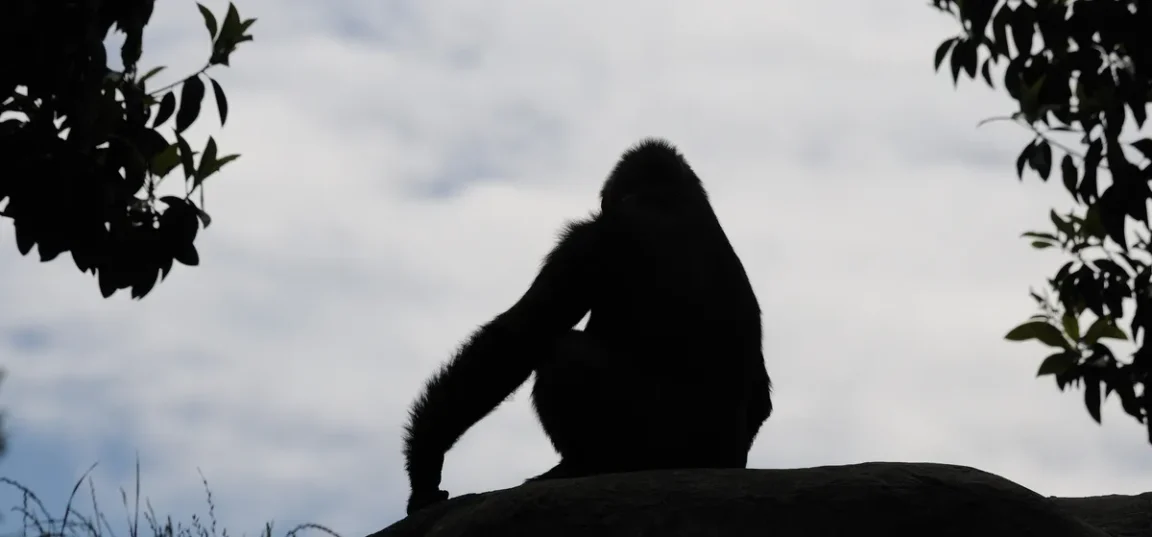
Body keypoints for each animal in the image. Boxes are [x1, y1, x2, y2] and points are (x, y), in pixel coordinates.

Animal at [401, 138, 772, 515]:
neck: (668, 201)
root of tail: (720, 459)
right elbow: (761, 395)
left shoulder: (588, 240)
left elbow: (519, 336)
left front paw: (426, 459)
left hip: (664, 441)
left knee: (563, 352)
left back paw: (584, 464)